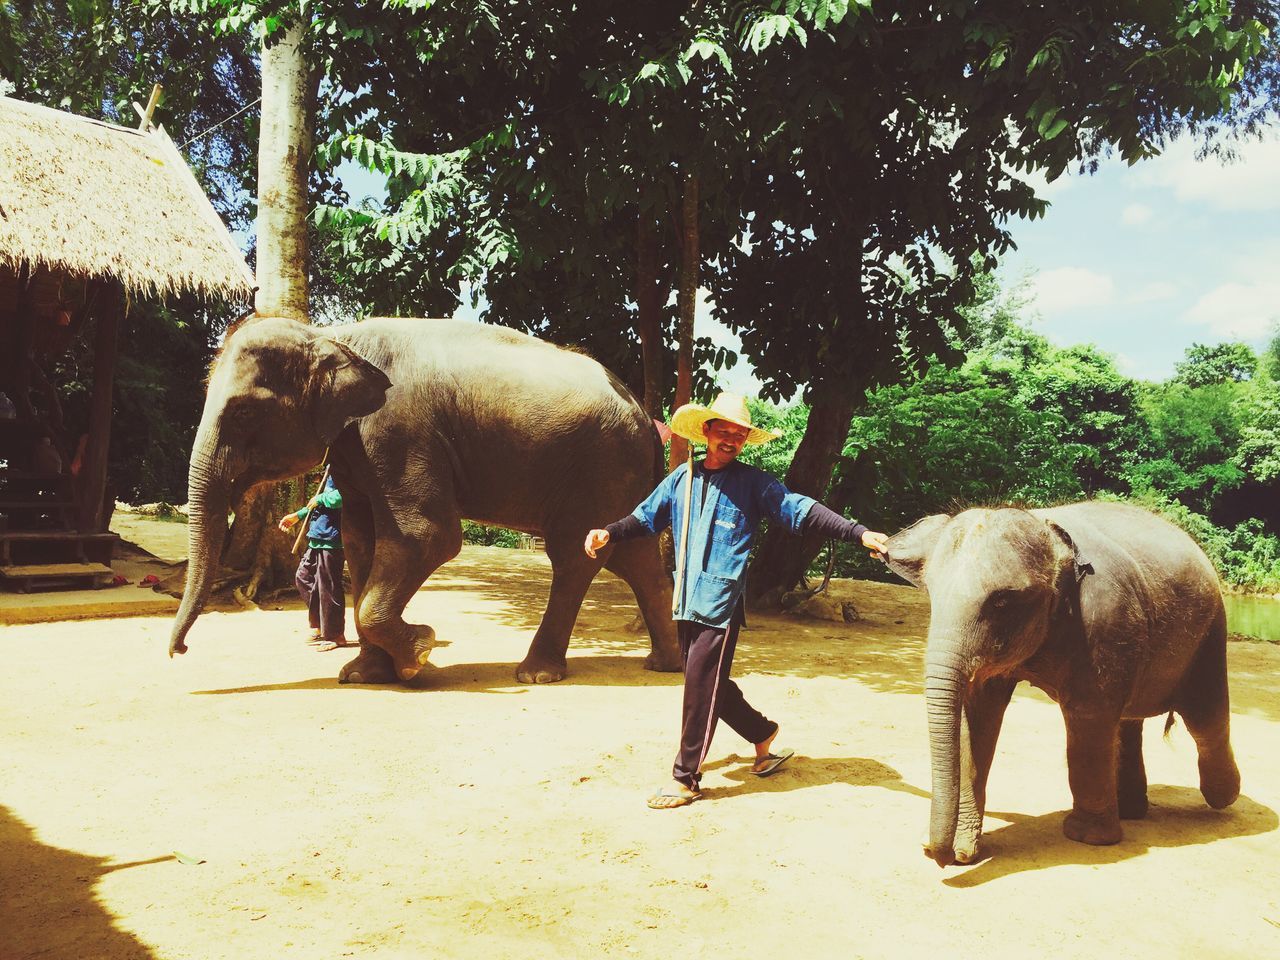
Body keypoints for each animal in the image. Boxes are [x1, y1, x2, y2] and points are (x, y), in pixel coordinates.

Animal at [174, 313, 686, 686]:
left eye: (243, 412)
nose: (179, 650)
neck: (331, 335)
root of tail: (645, 415)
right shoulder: (356, 450)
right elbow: (361, 542)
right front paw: (362, 675)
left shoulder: (398, 431)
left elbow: (427, 536)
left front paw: (417, 655)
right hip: (618, 477)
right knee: (630, 556)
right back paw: (666, 663)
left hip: (599, 467)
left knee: (576, 556)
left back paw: (537, 673)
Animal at [885, 504, 1233, 870]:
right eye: (931, 594)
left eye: (1001, 602)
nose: (934, 855)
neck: (1046, 528)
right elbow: (977, 715)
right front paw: (964, 852)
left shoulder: (1104, 620)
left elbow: (1088, 717)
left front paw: (1087, 837)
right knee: (1131, 721)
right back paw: (1132, 811)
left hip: (1210, 633)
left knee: (1204, 719)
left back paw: (1222, 796)